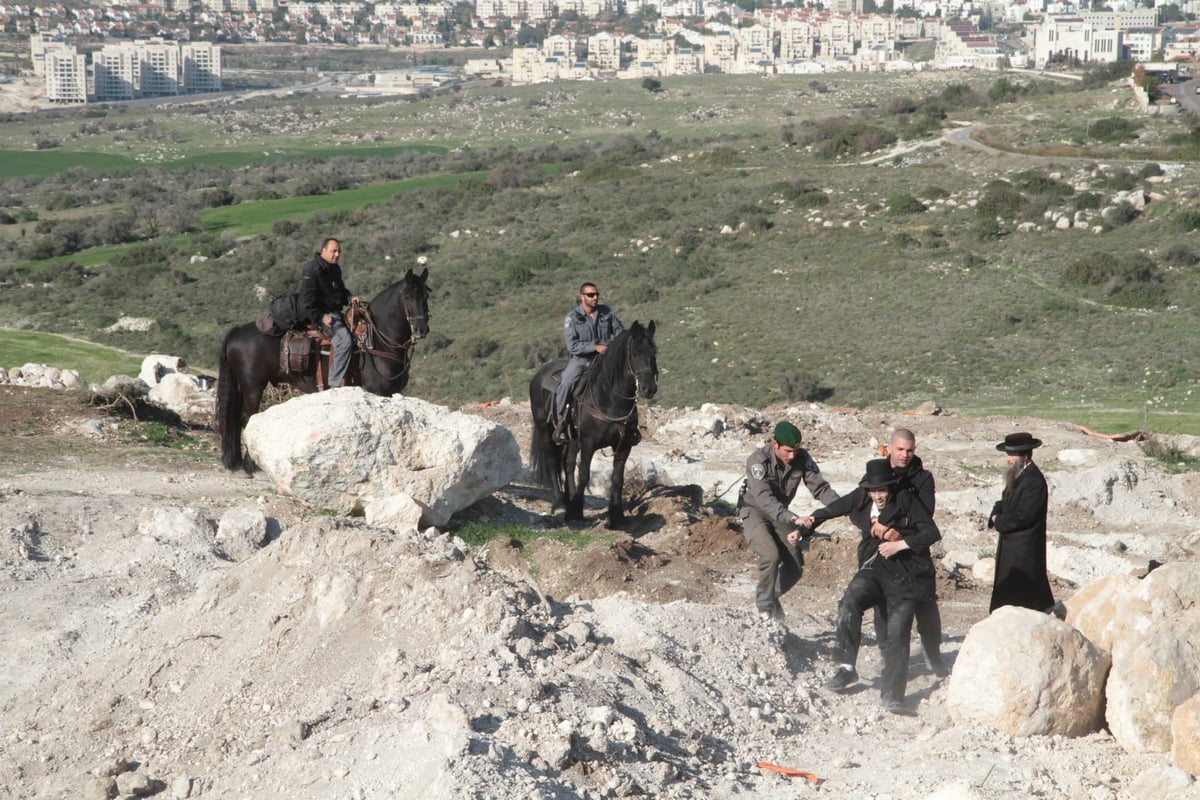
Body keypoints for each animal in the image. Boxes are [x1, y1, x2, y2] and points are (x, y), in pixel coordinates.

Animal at [217, 268, 432, 472]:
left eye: (425, 296)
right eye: (407, 296)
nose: (422, 329)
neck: (376, 341)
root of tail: (236, 331)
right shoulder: (376, 393)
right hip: (253, 386)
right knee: (247, 418)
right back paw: (249, 465)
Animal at [528, 319, 657, 525]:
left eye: (654, 352)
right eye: (635, 353)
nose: (649, 389)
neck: (610, 399)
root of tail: (539, 375)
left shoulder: (624, 445)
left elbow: (617, 479)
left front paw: (617, 517)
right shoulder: (588, 442)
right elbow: (584, 475)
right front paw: (576, 513)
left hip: (571, 439)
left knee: (567, 464)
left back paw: (568, 500)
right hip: (545, 430)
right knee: (552, 462)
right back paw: (560, 504)